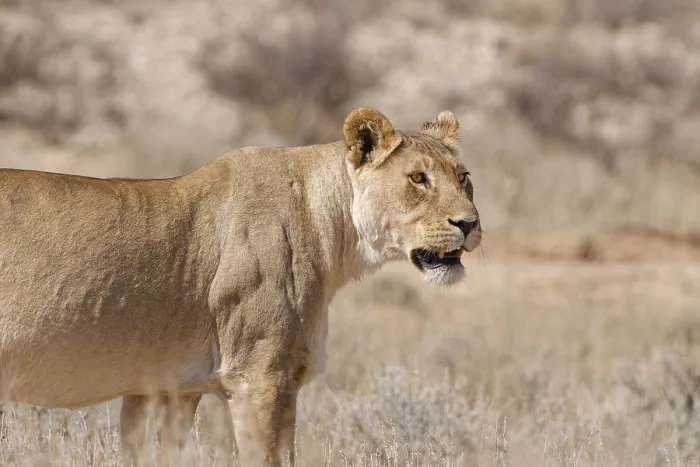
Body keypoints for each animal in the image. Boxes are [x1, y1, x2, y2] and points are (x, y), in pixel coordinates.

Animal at [0, 107, 482, 466]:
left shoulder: (167, 388)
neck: (331, 224)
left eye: (463, 177)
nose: (470, 224)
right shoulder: (259, 377)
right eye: (418, 178)